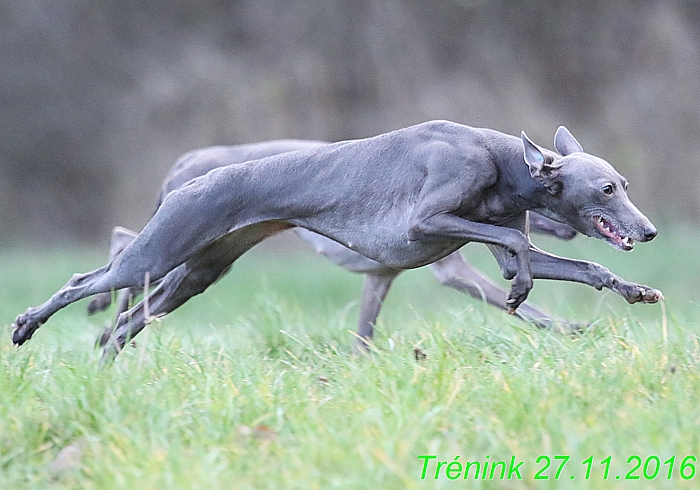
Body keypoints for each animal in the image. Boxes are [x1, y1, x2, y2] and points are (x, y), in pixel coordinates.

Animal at [89, 140, 580, 346]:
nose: (572, 230)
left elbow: (363, 337)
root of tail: (189, 159)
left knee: (128, 267)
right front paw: (567, 327)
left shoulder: (381, 276)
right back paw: (101, 311)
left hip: (201, 260)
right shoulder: (452, 272)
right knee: (121, 247)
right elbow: (521, 304)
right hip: (181, 247)